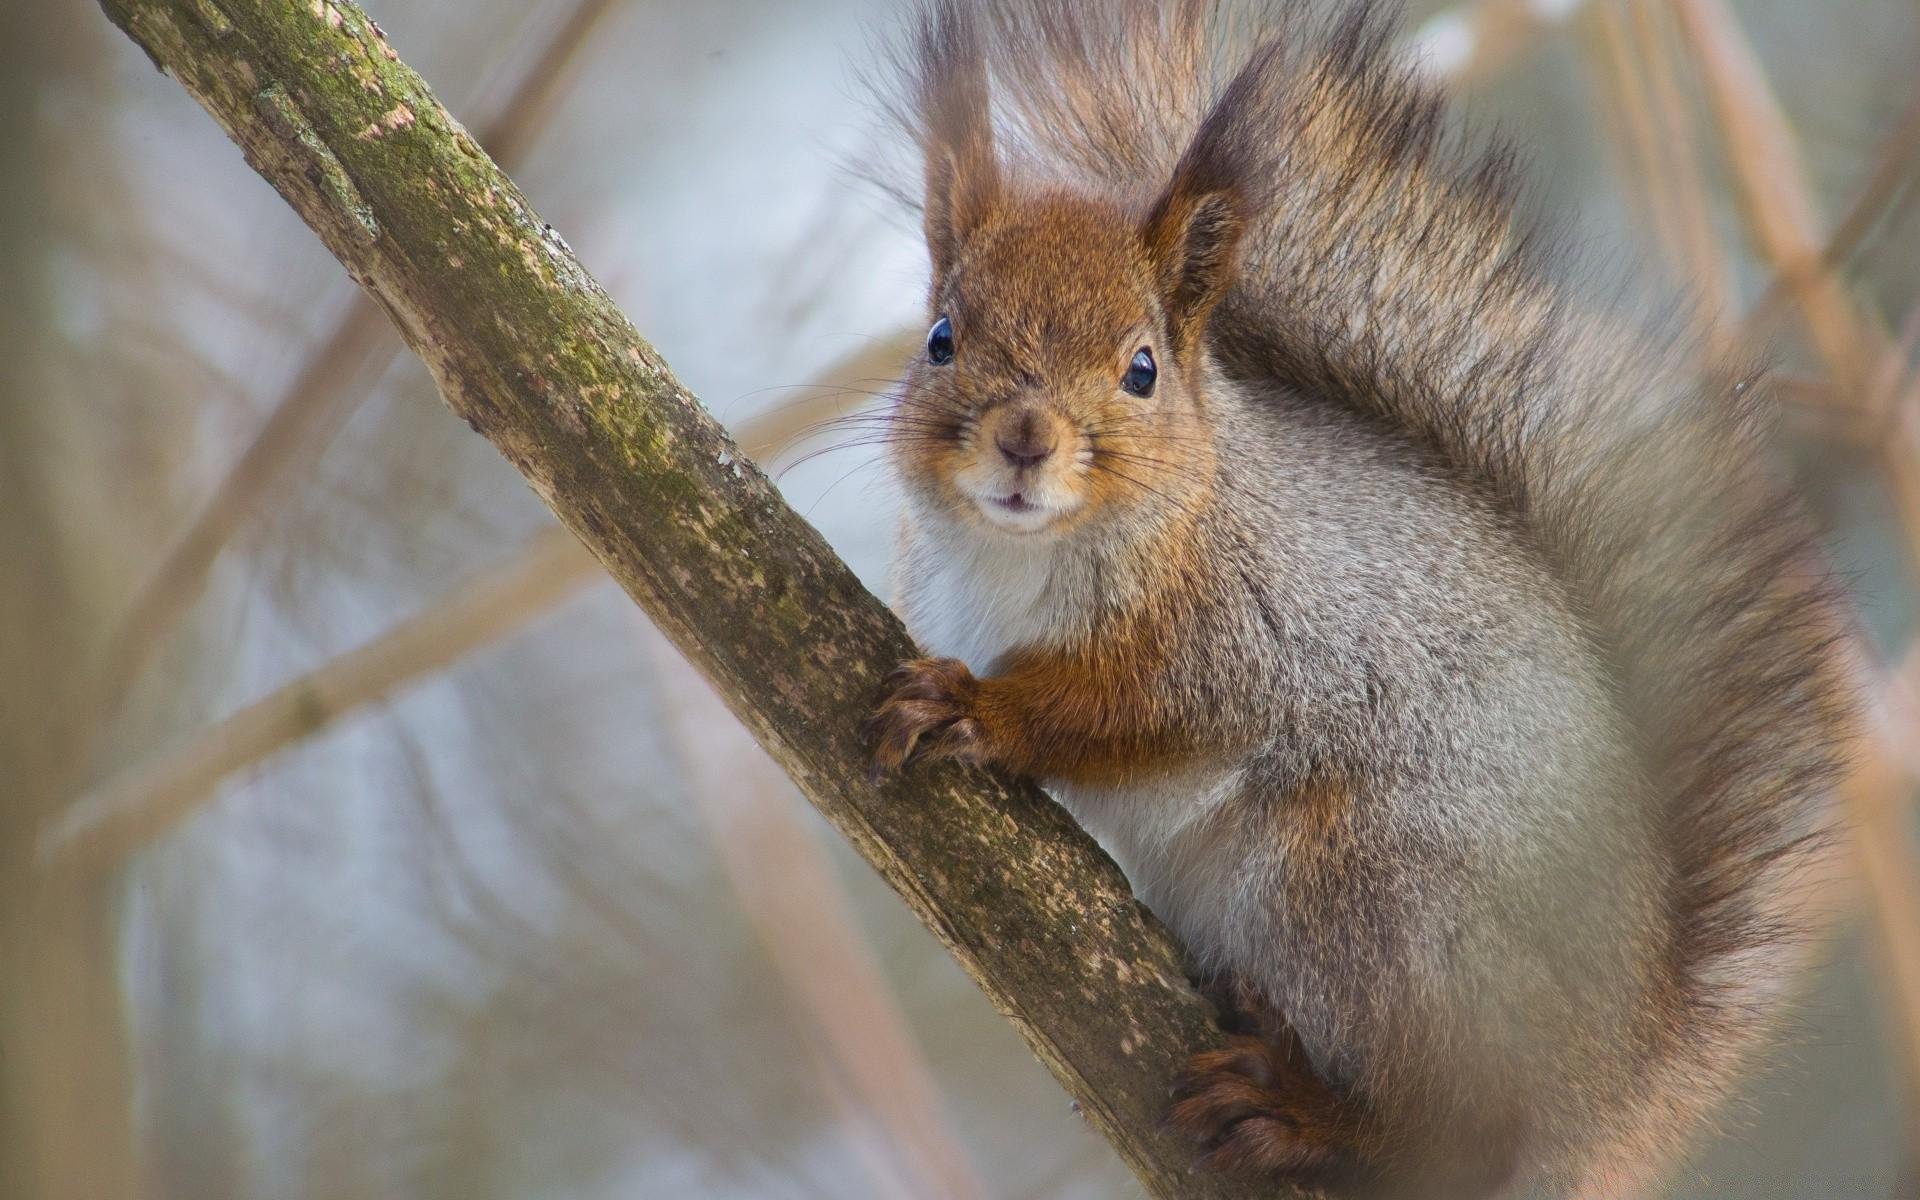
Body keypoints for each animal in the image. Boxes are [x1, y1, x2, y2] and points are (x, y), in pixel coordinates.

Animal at [864, 2, 1850, 1190]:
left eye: (1142, 368)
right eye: (940, 339)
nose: (1024, 438)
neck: (1028, 554)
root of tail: (1608, 1088)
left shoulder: (1253, 629)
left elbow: (1130, 711)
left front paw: (982, 710)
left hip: (1367, 895)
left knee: (1461, 1134)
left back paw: (1308, 1114)